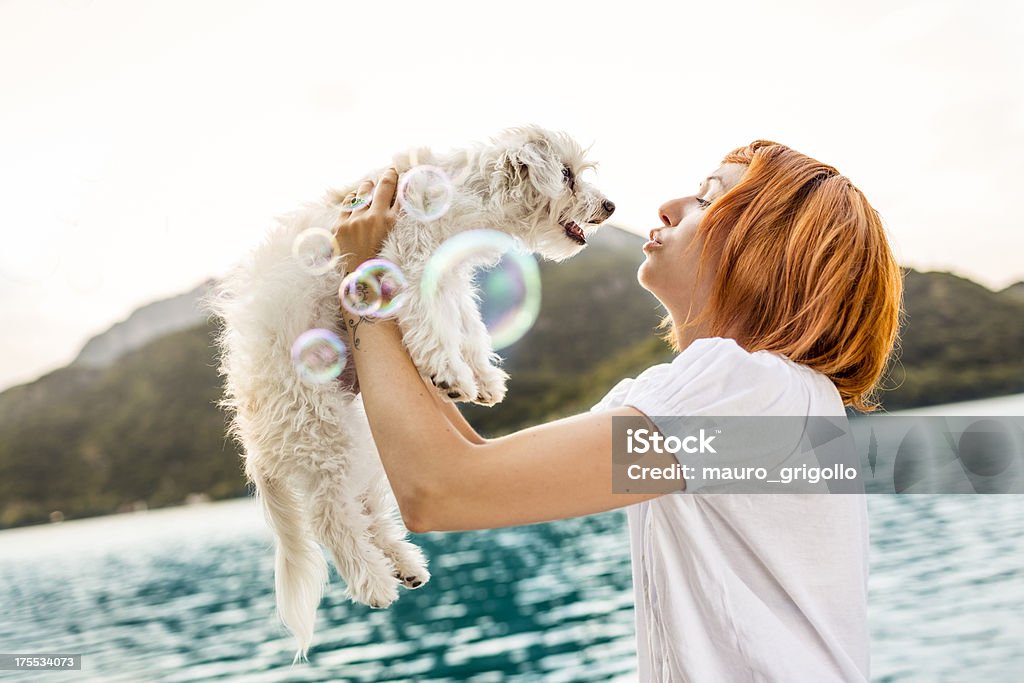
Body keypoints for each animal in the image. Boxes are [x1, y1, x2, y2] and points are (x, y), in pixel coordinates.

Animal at [203, 125, 610, 663]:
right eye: (566, 174)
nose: (611, 205)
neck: (466, 196)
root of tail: (254, 441)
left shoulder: (449, 277)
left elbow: (467, 325)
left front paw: (482, 379)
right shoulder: (406, 264)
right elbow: (434, 325)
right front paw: (450, 373)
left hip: (361, 440)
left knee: (369, 511)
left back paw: (404, 565)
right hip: (323, 432)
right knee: (333, 519)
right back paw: (374, 582)